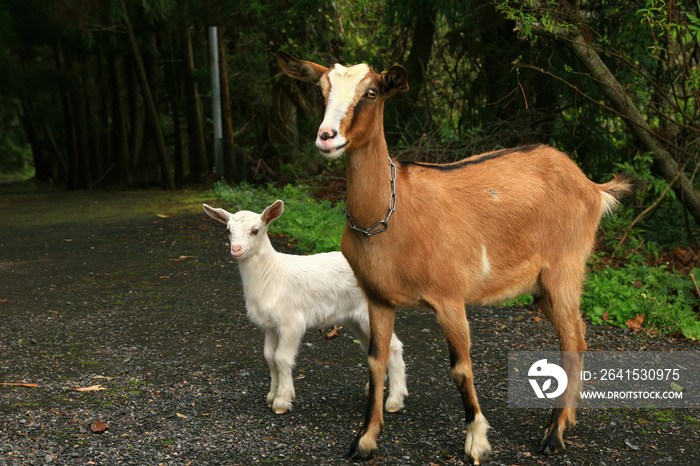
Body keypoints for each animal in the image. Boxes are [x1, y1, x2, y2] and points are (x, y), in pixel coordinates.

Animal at [276, 49, 632, 464]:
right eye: (321, 90)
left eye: (372, 93)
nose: (327, 137)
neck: (391, 214)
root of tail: (591, 186)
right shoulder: (377, 297)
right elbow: (375, 361)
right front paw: (365, 439)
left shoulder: (449, 296)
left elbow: (460, 368)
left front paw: (477, 441)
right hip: (543, 286)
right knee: (578, 335)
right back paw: (568, 420)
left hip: (566, 268)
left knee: (572, 340)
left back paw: (554, 434)